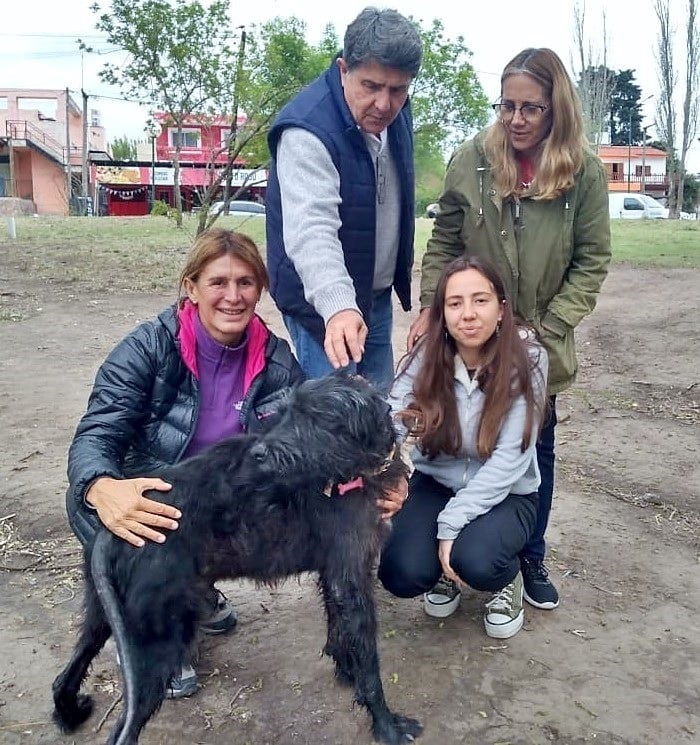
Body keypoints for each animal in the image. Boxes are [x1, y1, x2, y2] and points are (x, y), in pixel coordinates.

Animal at [53, 374, 422, 744]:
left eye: (315, 417)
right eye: (284, 413)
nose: (257, 453)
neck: (355, 470)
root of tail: (115, 525)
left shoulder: (335, 574)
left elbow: (339, 630)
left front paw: (345, 670)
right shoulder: (351, 577)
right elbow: (369, 662)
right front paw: (387, 726)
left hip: (105, 616)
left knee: (68, 670)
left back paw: (69, 713)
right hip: (157, 642)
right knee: (123, 731)